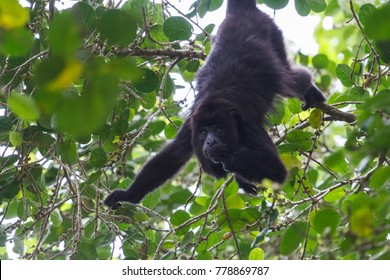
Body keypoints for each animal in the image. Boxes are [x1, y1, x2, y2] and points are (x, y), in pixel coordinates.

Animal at [104, 0, 326, 209]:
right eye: (203, 133)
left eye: (218, 129)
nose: (210, 141)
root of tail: (238, 14)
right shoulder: (191, 125)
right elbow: (172, 156)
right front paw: (127, 195)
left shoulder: (247, 124)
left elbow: (276, 169)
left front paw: (225, 155)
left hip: (272, 32)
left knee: (291, 80)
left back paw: (309, 91)